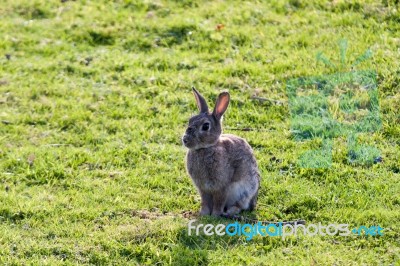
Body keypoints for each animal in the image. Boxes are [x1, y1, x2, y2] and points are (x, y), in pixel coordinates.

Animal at [183, 88, 260, 217]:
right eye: (190, 120)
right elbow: (205, 201)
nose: (185, 140)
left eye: (205, 126)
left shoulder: (222, 186)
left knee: (240, 205)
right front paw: (203, 214)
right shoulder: (203, 188)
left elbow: (219, 201)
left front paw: (215, 215)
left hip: (246, 191)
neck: (205, 148)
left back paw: (229, 212)